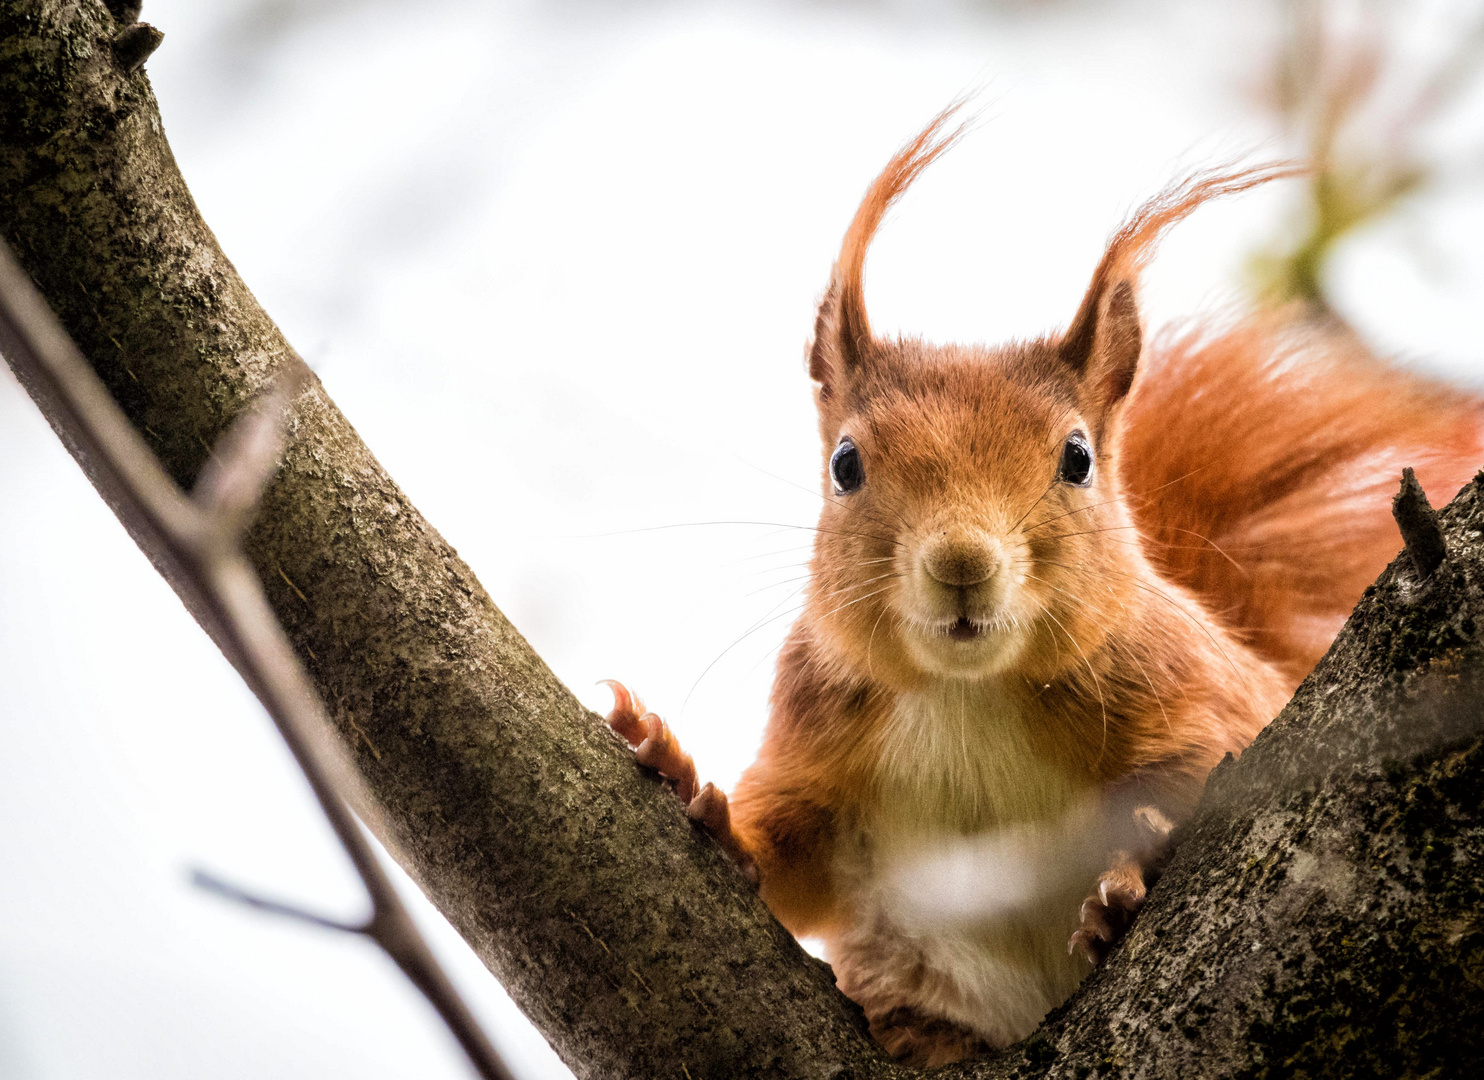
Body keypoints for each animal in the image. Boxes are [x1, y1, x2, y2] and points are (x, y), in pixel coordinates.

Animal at [599, 105, 1472, 1068]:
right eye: (845, 464)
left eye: (1078, 458)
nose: (962, 564)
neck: (969, 697)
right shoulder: (818, 738)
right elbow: (786, 857)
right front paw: (694, 791)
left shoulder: (1202, 695)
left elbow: (1209, 768)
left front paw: (1127, 892)